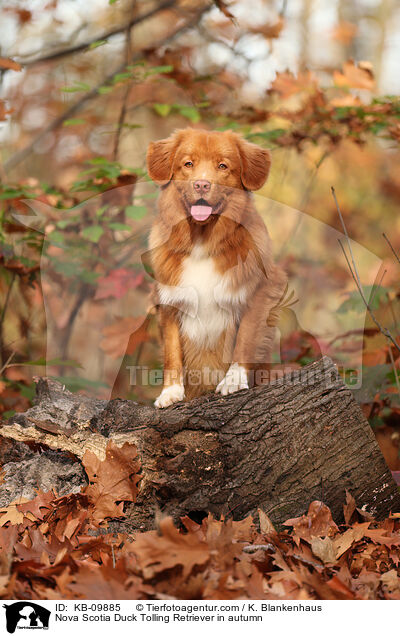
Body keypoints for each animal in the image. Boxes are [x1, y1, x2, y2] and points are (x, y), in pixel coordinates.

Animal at [145, 128, 286, 408]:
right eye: (188, 164)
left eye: (222, 166)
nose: (202, 184)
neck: (202, 240)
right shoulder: (168, 299)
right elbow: (172, 351)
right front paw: (170, 392)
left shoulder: (260, 291)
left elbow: (245, 338)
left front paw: (233, 381)